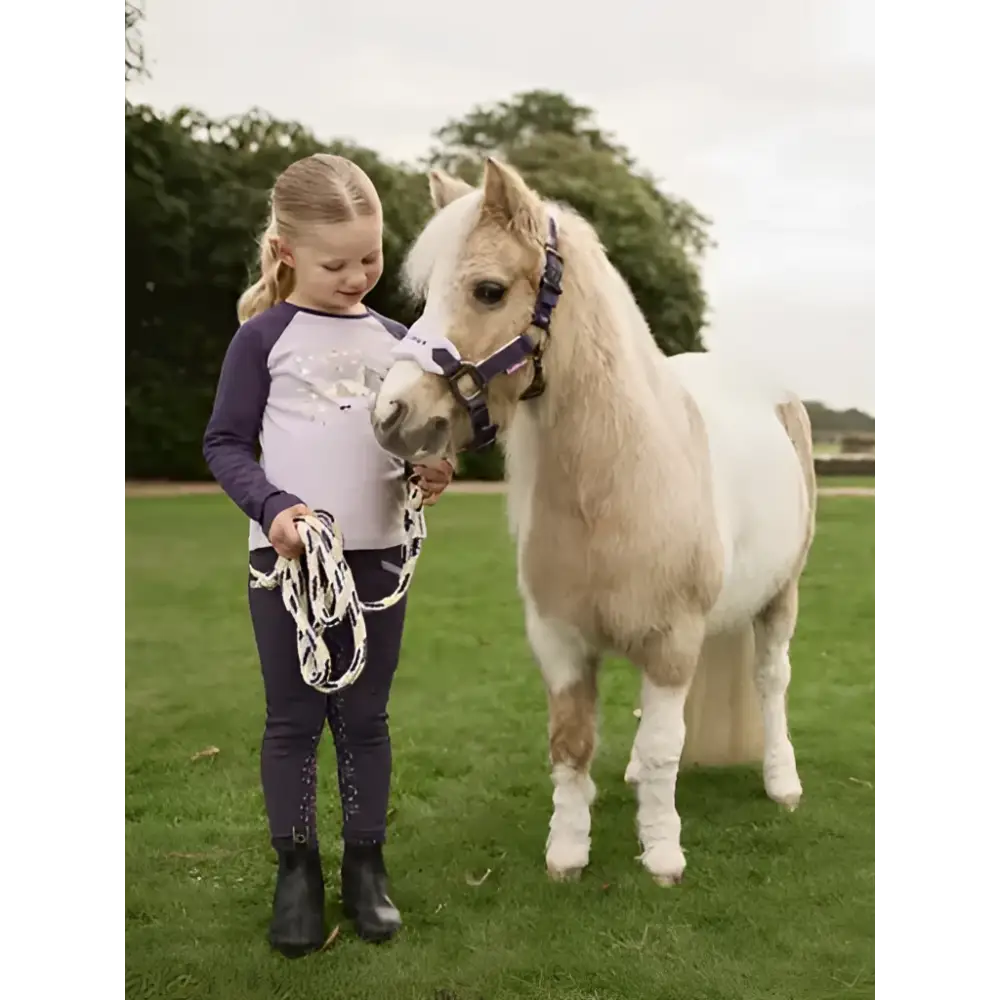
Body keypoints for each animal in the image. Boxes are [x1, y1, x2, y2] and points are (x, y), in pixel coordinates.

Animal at [370, 157, 817, 887]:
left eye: (489, 291)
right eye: (427, 294)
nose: (391, 417)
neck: (610, 487)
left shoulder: (671, 641)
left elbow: (665, 745)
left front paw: (662, 854)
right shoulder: (560, 642)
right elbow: (572, 744)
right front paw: (567, 852)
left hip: (781, 596)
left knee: (770, 680)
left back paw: (782, 782)